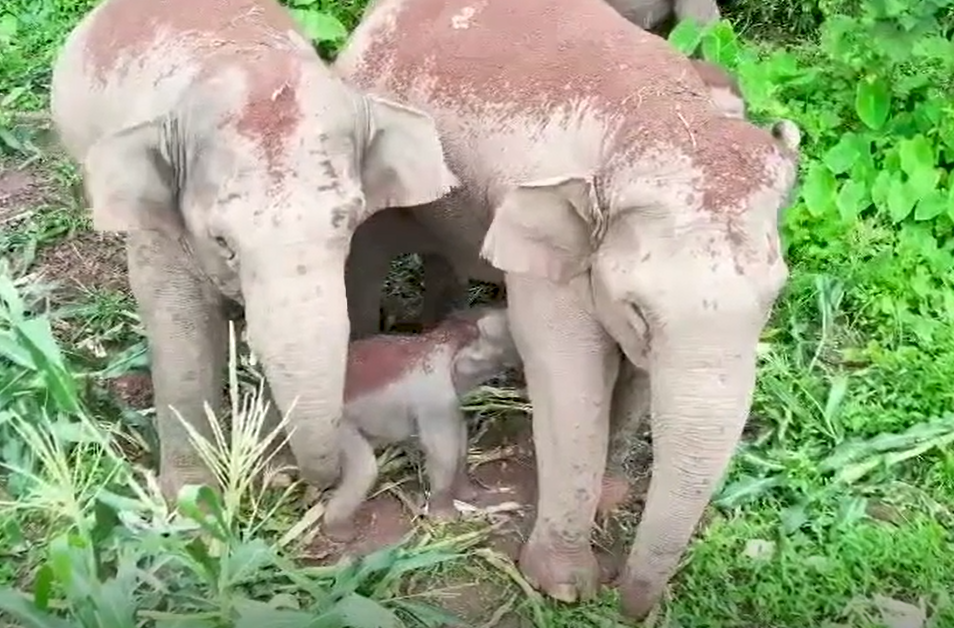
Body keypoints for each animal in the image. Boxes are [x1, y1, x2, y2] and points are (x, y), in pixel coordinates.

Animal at [50, 0, 456, 499]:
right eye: (222, 240)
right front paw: (193, 501)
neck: (237, 56)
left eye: (347, 220)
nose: (310, 482)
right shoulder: (160, 231)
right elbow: (179, 329)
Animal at [334, 0, 800, 620]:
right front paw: (563, 587)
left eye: (773, 299)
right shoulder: (546, 256)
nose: (629, 603)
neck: (653, 113)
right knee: (365, 257)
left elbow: (638, 375)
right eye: (639, 308)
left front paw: (612, 498)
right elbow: (568, 377)